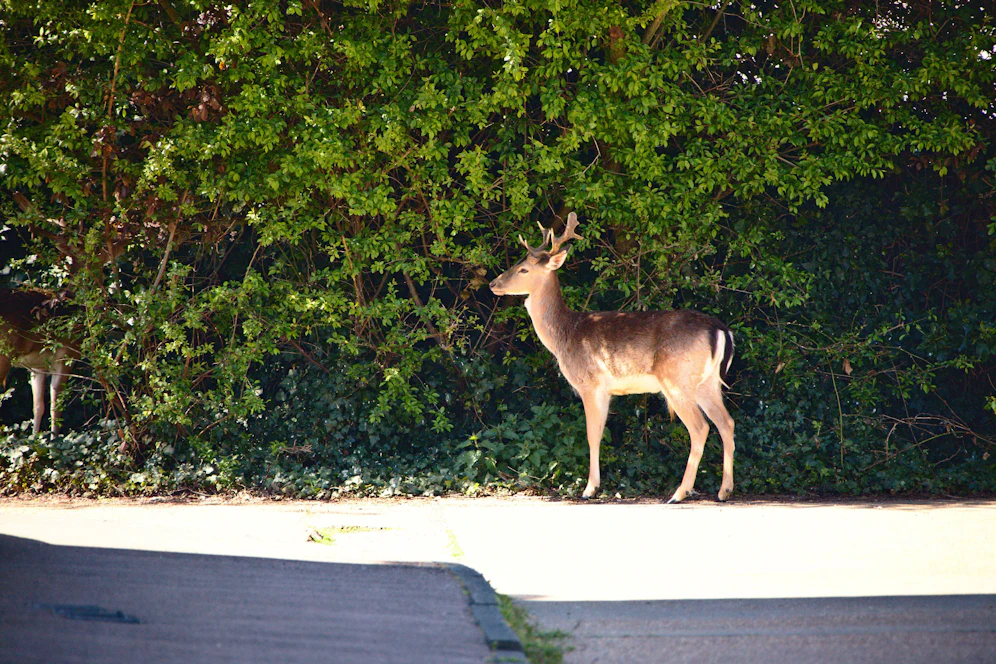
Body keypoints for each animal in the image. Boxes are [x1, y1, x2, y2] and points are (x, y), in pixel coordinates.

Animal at [0, 288, 78, 434]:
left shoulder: (37, 368)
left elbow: (38, 407)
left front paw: (36, 438)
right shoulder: (65, 358)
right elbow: (56, 407)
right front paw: (55, 438)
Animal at [489, 213, 735, 503]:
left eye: (524, 270)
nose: (493, 283)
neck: (564, 335)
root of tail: (719, 330)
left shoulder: (590, 383)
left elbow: (591, 434)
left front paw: (589, 489)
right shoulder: (607, 391)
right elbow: (599, 433)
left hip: (677, 380)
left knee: (700, 428)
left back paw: (679, 492)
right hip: (707, 383)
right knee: (726, 422)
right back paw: (724, 491)